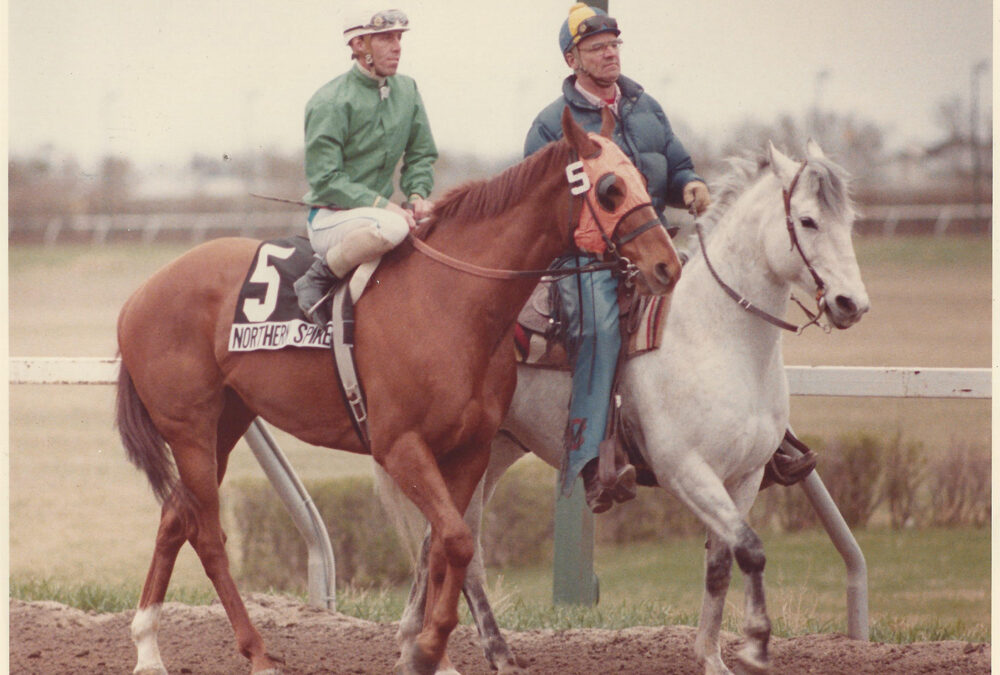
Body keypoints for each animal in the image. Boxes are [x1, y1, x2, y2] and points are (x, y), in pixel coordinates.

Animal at [115, 108, 680, 672]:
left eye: (641, 178)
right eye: (610, 189)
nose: (667, 265)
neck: (451, 301)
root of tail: (140, 295)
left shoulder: (470, 448)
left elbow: (446, 545)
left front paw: (429, 648)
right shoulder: (400, 445)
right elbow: (455, 539)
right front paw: (427, 647)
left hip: (226, 422)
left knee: (175, 517)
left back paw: (147, 646)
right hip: (189, 426)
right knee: (207, 535)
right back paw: (255, 651)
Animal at [376, 141, 868, 675]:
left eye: (849, 220)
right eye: (807, 220)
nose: (852, 304)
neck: (716, 335)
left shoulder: (745, 477)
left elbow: (722, 561)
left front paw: (712, 656)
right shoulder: (686, 471)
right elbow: (751, 549)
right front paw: (756, 645)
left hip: (492, 453)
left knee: (441, 543)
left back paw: (426, 647)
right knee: (455, 546)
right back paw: (457, 653)